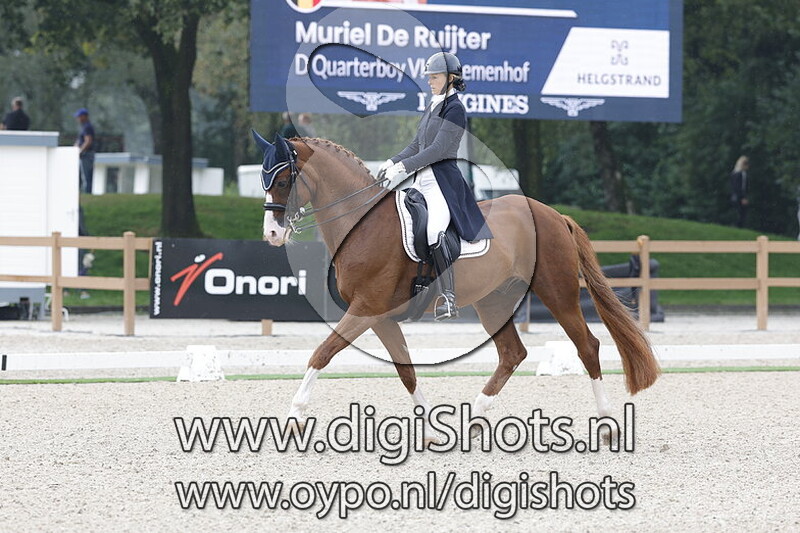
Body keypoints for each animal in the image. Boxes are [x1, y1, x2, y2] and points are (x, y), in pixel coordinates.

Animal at [252, 130, 660, 442]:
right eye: (264, 181)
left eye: (284, 181)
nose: (271, 235)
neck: (363, 224)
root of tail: (554, 214)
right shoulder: (380, 316)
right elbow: (406, 370)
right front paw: (433, 431)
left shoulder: (366, 309)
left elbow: (322, 353)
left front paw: (294, 418)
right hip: (494, 302)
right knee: (512, 354)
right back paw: (475, 419)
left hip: (557, 292)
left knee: (587, 347)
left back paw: (607, 424)